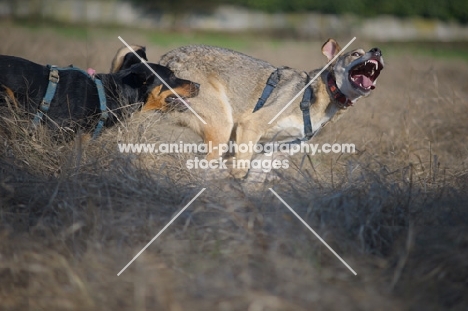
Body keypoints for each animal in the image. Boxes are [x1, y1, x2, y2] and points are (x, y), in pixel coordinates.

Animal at [159, 39, 382, 178]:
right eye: (355, 53)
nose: (378, 51)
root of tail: (166, 57)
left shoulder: (274, 151)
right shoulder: (250, 126)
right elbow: (240, 170)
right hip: (222, 124)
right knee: (203, 165)